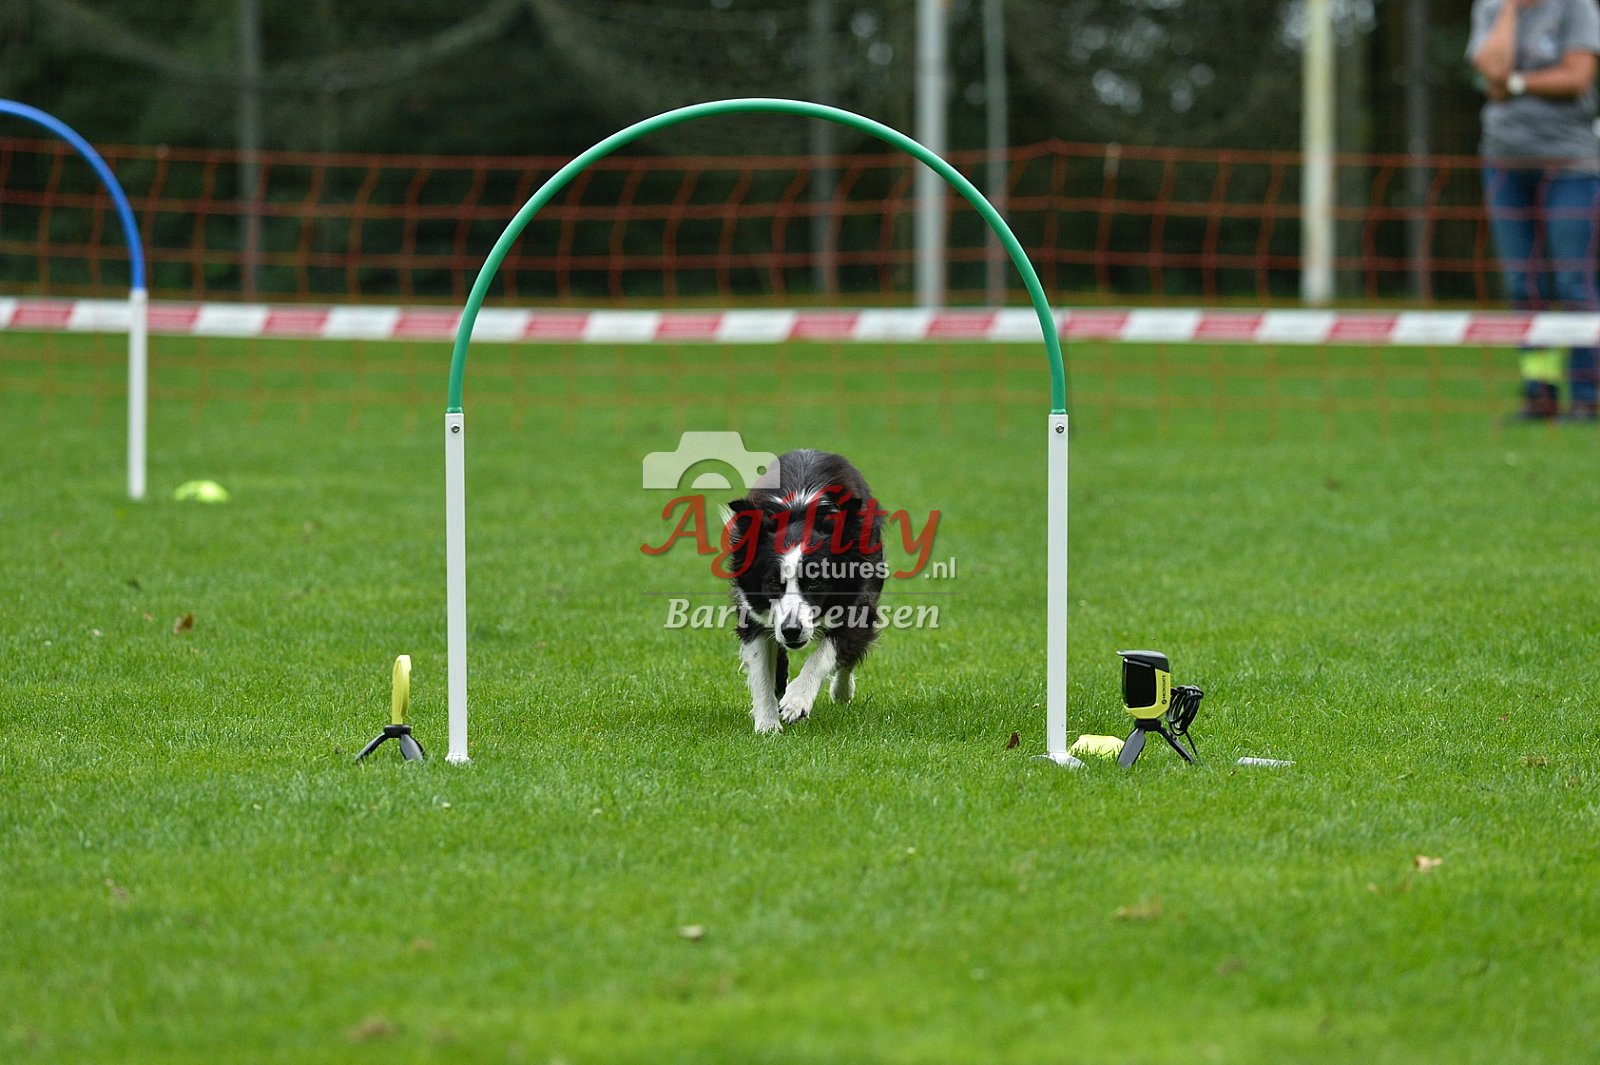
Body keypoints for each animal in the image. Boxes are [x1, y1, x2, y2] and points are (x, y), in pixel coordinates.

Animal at [723, 449, 886, 733]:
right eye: (773, 583)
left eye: (814, 583)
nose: (791, 630)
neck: (799, 515)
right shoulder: (751, 609)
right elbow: (760, 668)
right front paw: (767, 724)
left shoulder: (860, 601)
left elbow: (827, 651)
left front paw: (797, 700)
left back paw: (842, 691)